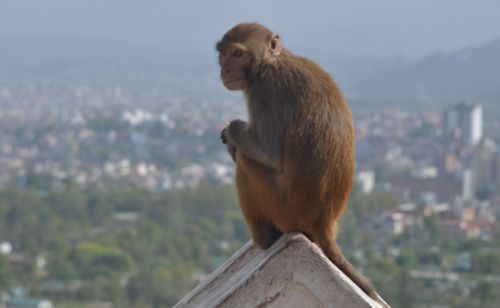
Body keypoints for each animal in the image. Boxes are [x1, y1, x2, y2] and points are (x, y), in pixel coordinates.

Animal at [216, 23, 386, 306]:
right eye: (224, 53)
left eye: (238, 54)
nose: (225, 69)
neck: (271, 62)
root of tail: (324, 223)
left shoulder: (264, 90)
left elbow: (269, 152)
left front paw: (232, 130)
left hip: (283, 208)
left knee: (246, 160)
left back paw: (264, 239)